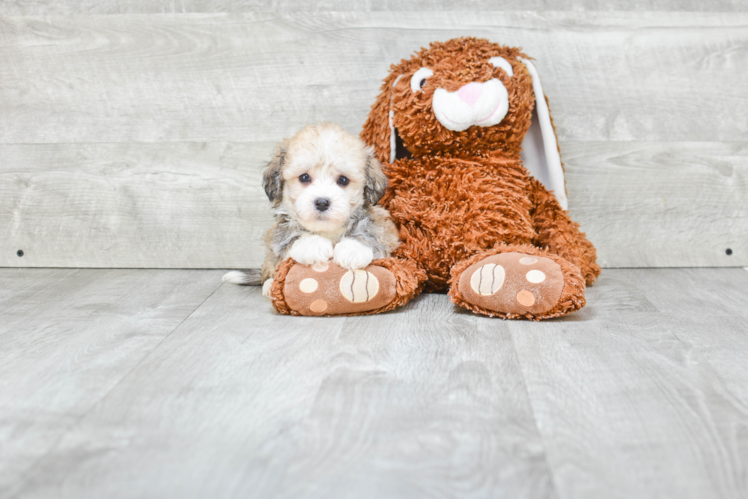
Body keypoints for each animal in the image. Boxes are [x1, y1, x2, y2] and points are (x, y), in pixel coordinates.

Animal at [222, 124, 400, 296]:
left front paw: (353, 249)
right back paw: (269, 286)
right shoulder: (278, 237)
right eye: (304, 177)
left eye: (343, 180)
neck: (327, 231)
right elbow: (289, 239)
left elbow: (372, 234)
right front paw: (313, 244)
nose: (322, 202)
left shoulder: (386, 231)